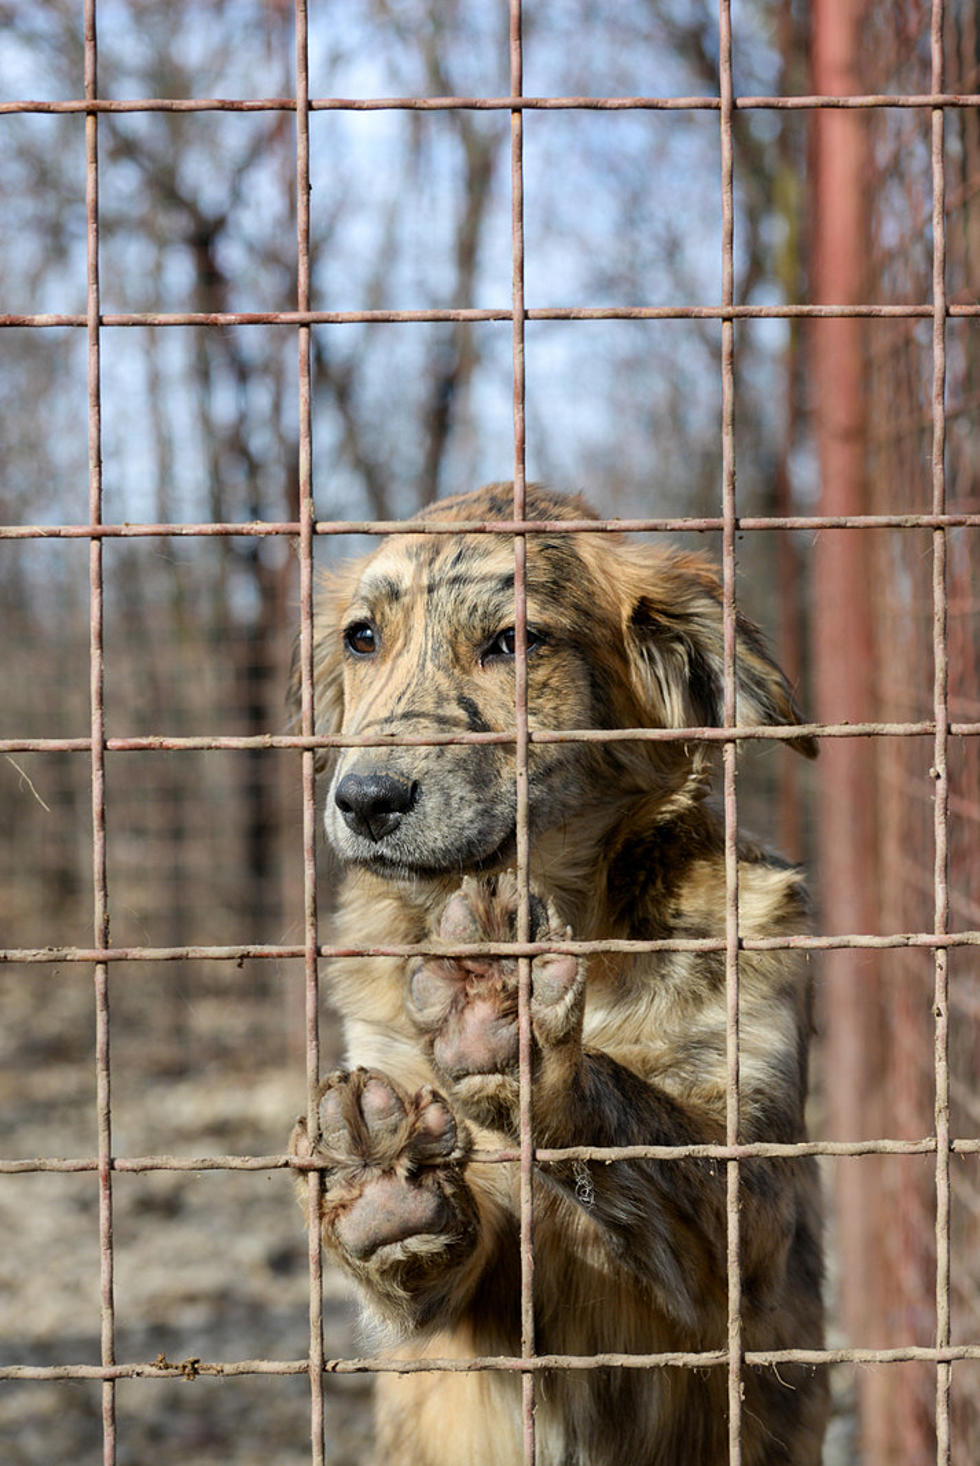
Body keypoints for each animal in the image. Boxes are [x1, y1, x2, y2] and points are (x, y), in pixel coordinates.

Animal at [289, 483, 827, 1466]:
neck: (594, 940)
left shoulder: (759, 1215)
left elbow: (647, 1126)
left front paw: (508, 1023)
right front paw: (388, 1188)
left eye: (515, 641)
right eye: (362, 638)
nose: (366, 800)